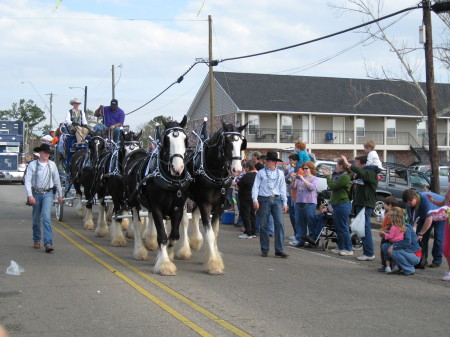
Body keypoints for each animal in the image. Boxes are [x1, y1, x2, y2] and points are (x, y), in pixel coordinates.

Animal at [123, 117, 192, 274]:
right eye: (166, 140)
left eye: (185, 139)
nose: (178, 168)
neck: (172, 180)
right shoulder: (156, 208)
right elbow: (162, 236)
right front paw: (165, 264)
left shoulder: (178, 208)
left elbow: (174, 235)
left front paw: (168, 255)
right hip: (134, 202)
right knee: (137, 224)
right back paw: (140, 251)